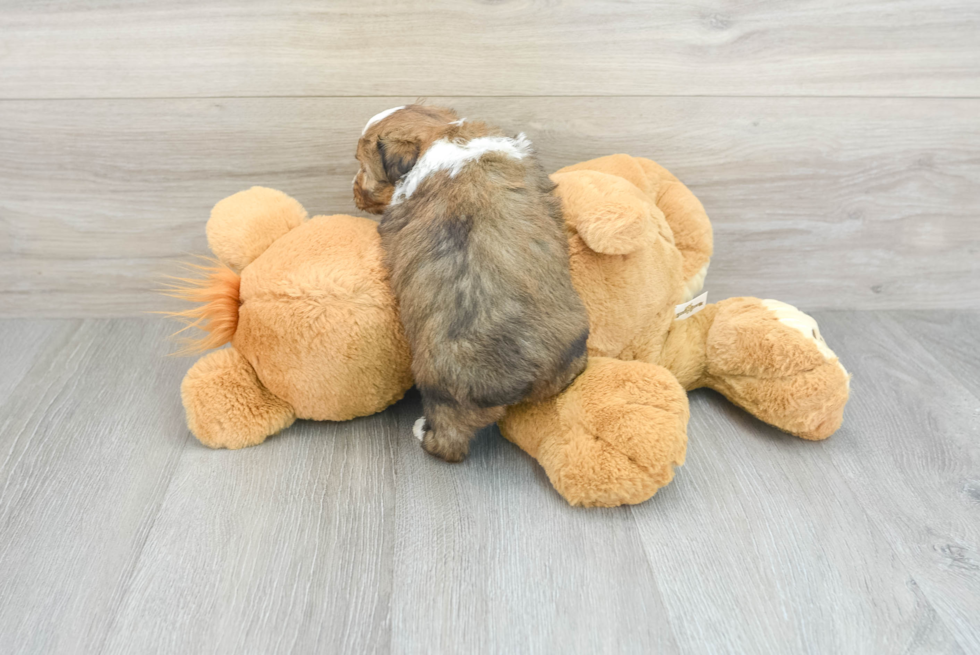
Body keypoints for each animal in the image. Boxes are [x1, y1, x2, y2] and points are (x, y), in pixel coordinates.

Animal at [354, 106, 588, 462]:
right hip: (571, 353)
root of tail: (519, 382)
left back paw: (423, 431)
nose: (353, 191)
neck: (443, 134)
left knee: (448, 442)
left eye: (361, 165)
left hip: (441, 389)